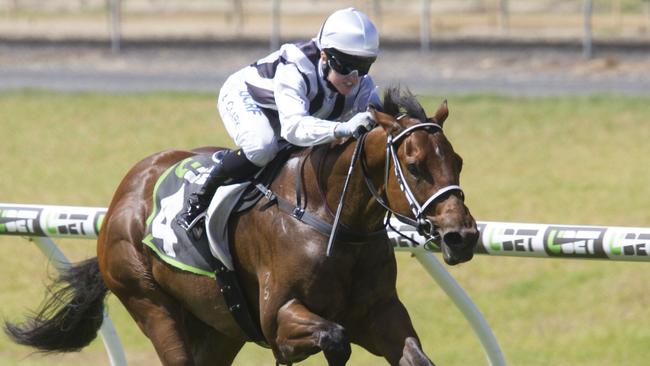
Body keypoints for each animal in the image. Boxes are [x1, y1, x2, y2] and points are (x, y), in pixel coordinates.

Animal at [6, 87, 476, 364]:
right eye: (414, 166)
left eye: (457, 161)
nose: (463, 237)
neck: (329, 220)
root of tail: (122, 196)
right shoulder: (280, 320)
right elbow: (334, 337)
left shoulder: (381, 314)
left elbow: (412, 355)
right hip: (149, 302)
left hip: (218, 327)